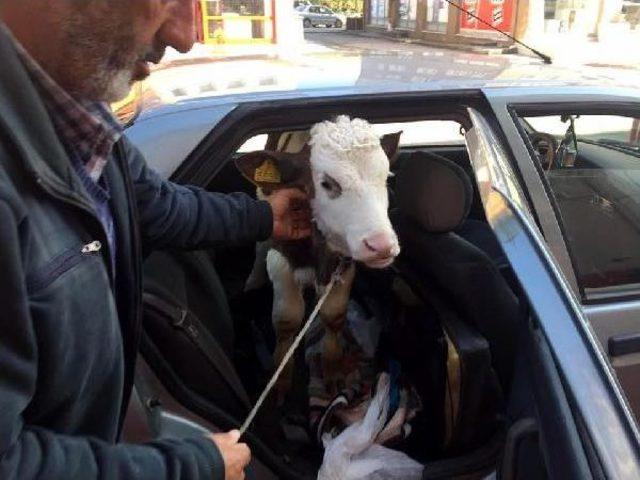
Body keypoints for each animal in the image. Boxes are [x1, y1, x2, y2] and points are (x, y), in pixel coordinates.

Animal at [238, 115, 402, 398]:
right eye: (327, 183)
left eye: (385, 177)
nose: (380, 245)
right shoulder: (279, 257)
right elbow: (287, 319)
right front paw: (280, 381)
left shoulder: (345, 261)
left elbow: (333, 315)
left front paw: (333, 368)